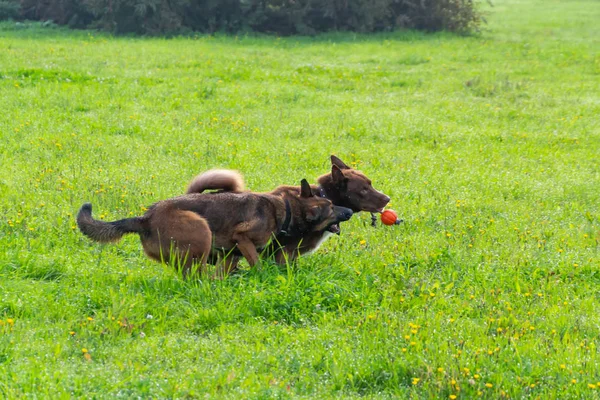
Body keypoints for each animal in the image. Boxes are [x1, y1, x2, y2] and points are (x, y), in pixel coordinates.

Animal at [77, 180, 354, 276]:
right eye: (331, 208)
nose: (350, 211)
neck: (285, 209)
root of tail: (145, 218)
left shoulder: (231, 253)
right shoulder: (243, 238)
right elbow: (257, 263)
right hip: (201, 230)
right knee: (197, 275)